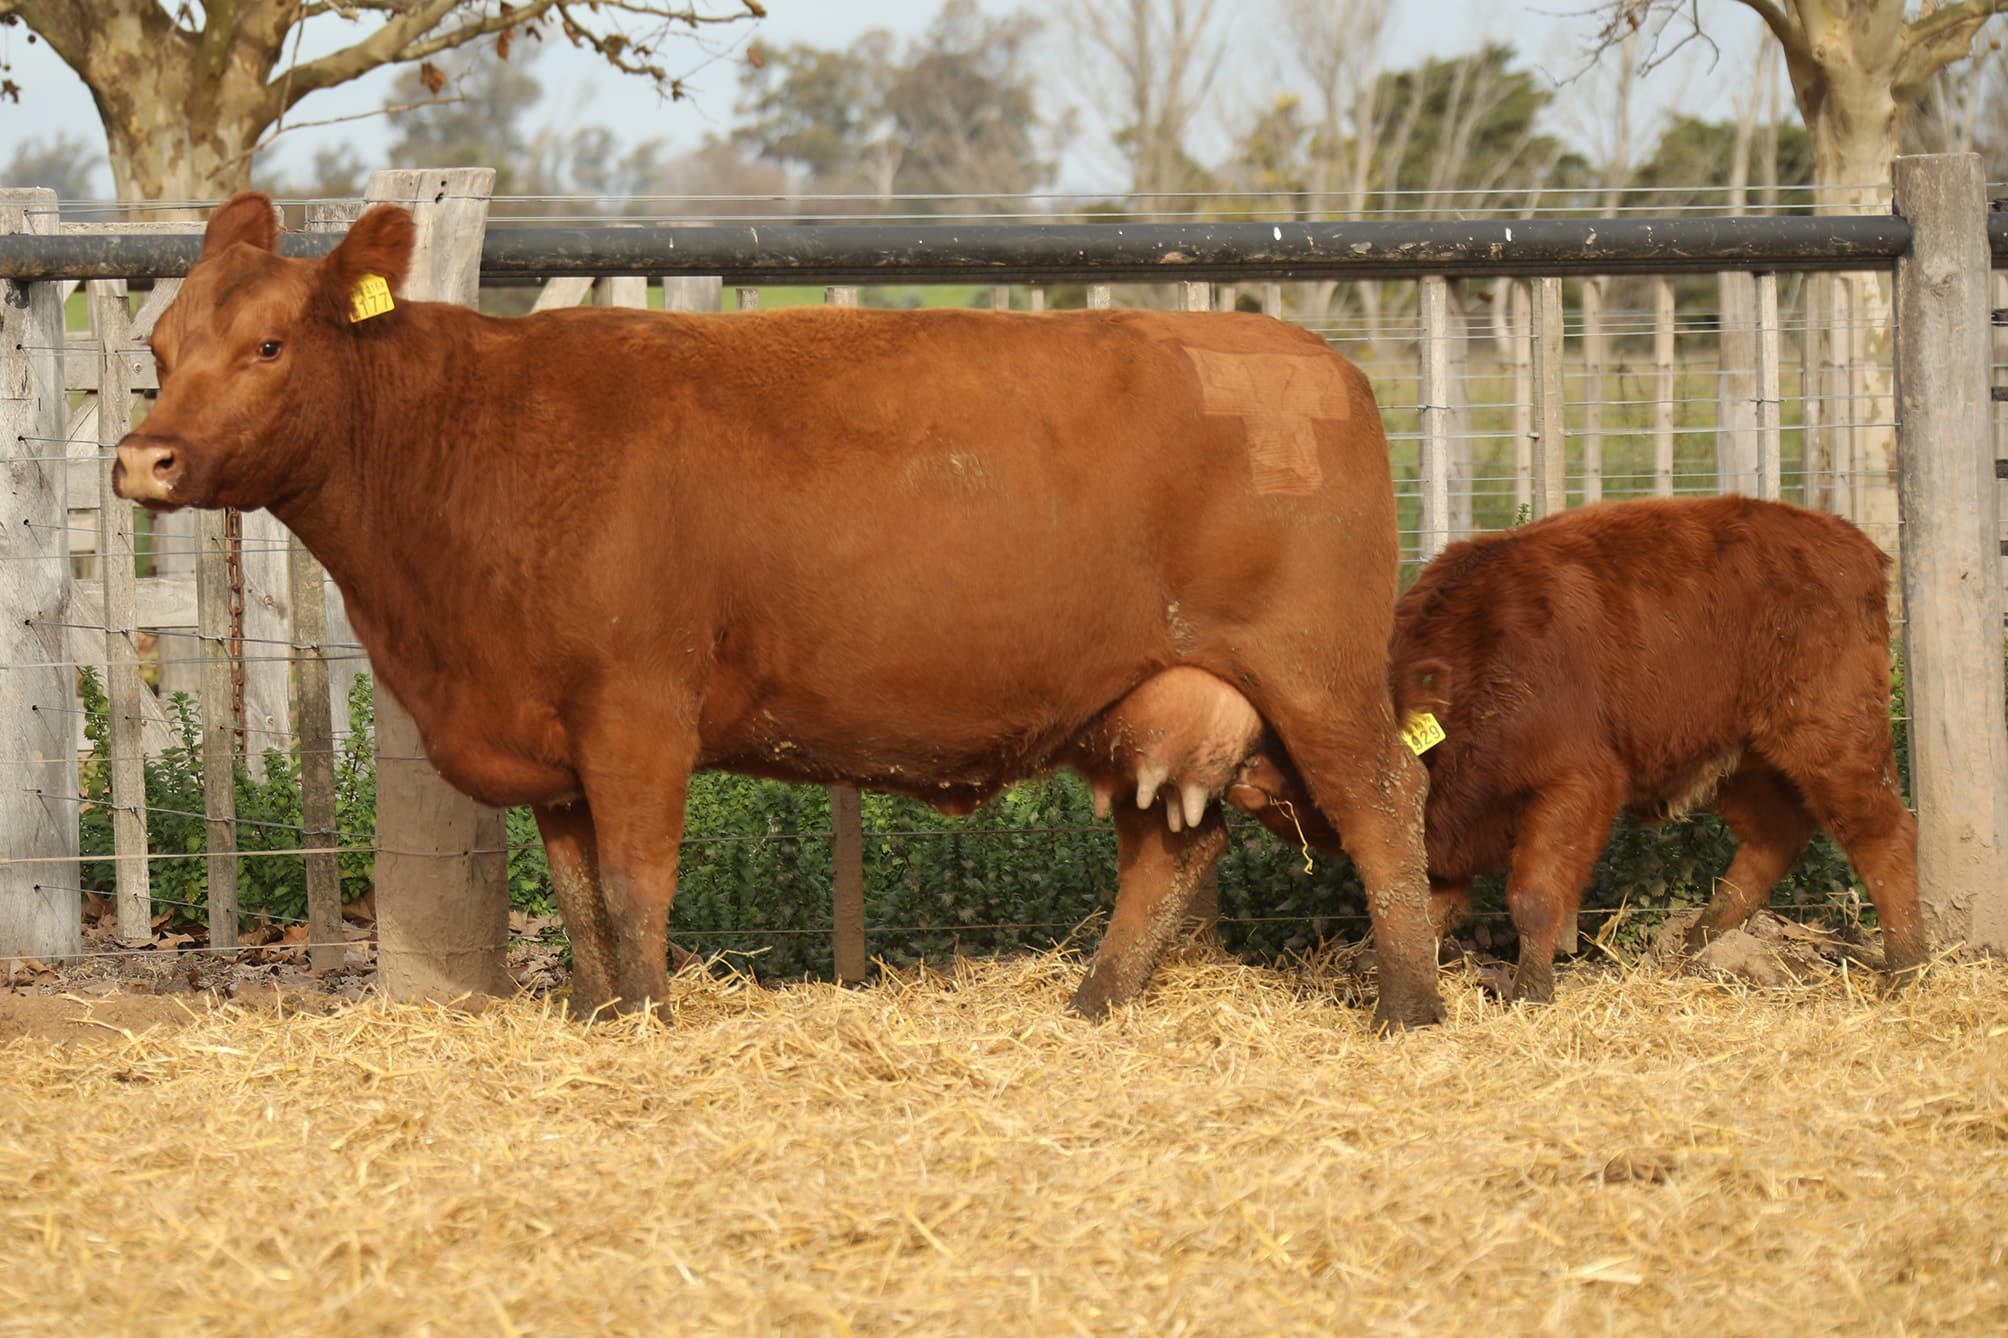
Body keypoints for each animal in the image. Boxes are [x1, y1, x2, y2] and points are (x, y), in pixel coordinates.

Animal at [111, 193, 1446, 1030]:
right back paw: (1094, 1003)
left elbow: (637, 885)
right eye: (158, 347)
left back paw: (1409, 1009)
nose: (142, 461)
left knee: (1387, 805)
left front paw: (652, 1019)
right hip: (1151, 700)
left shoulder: (638, 712)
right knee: (1172, 843)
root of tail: (1315, 361)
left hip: (1316, 669)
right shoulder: (550, 743)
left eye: (271, 345)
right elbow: (581, 895)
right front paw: (596, 1017)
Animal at [1225, 495, 1928, 1002]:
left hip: (1834, 739)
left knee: (1883, 835)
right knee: (1774, 837)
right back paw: (1693, 947)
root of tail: (1852, 544)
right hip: (1742, 758)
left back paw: (1905, 969)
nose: (1240, 771)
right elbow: (1425, 909)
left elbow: (1535, 898)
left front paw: (1531, 992)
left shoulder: (1575, 787)